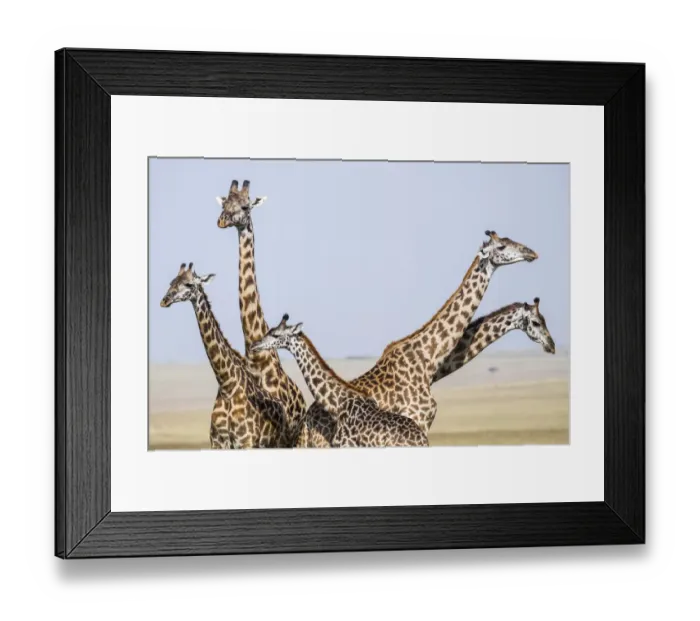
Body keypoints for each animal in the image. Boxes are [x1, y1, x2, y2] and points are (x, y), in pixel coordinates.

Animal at [160, 262, 288, 449]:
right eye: (172, 282)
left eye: (189, 284)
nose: (164, 300)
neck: (227, 385)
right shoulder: (217, 443)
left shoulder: (245, 442)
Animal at [251, 315, 428, 448]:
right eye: (270, 331)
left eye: (276, 335)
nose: (255, 345)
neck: (337, 405)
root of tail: (422, 441)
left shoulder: (345, 445)